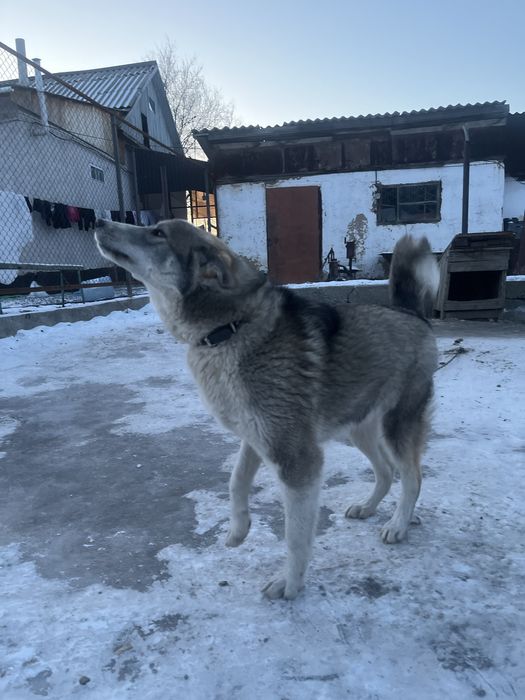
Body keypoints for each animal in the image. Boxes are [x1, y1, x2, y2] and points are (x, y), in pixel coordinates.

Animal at [95, 218, 439, 600]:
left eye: (158, 233)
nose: (99, 221)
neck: (228, 330)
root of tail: (410, 312)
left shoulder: (296, 458)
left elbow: (295, 536)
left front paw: (290, 584)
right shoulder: (256, 437)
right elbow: (236, 481)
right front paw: (238, 530)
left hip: (396, 425)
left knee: (412, 476)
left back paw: (399, 523)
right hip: (356, 428)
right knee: (386, 471)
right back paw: (369, 508)